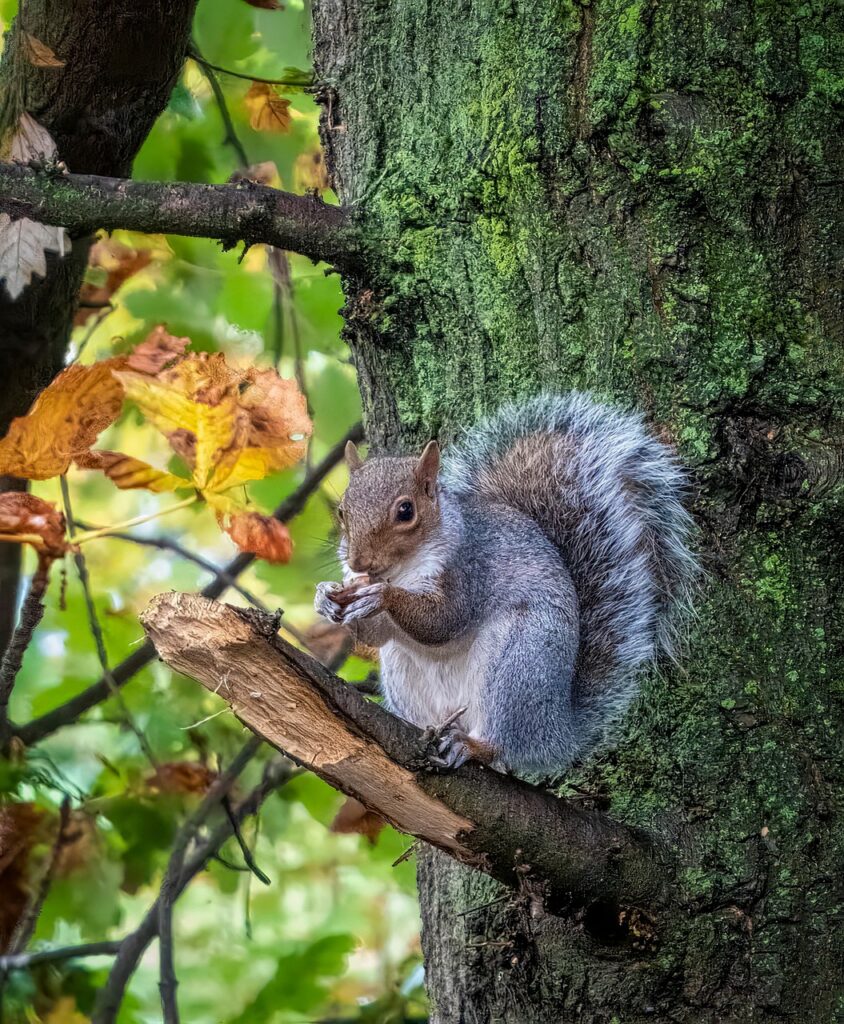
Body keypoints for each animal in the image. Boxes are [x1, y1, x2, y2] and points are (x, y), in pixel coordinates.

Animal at [314, 393, 697, 775]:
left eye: (406, 511)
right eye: (342, 512)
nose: (358, 562)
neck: (402, 569)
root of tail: (556, 732)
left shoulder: (469, 569)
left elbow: (442, 622)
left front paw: (382, 595)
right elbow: (375, 635)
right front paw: (327, 598)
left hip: (518, 663)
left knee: (504, 744)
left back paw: (474, 746)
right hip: (405, 674)